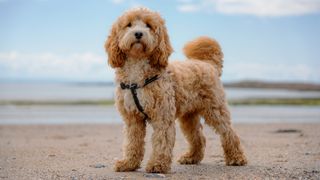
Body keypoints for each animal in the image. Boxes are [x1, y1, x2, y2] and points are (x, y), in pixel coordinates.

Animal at [105, 7, 248, 174]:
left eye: (148, 25)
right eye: (129, 25)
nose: (139, 33)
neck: (138, 67)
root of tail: (208, 64)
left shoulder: (162, 115)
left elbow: (162, 140)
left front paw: (157, 165)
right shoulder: (132, 119)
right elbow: (132, 142)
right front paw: (128, 163)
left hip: (215, 110)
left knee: (229, 133)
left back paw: (237, 158)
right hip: (189, 116)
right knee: (198, 137)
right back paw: (191, 157)